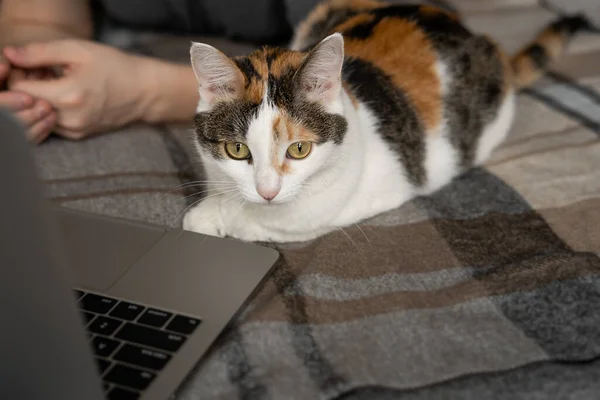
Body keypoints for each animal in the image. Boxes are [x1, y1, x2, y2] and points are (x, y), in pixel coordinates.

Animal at [180, 0, 588, 242]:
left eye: (299, 149)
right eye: (237, 149)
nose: (267, 192)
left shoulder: (346, 202)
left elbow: (278, 224)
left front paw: (209, 217)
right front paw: (214, 208)